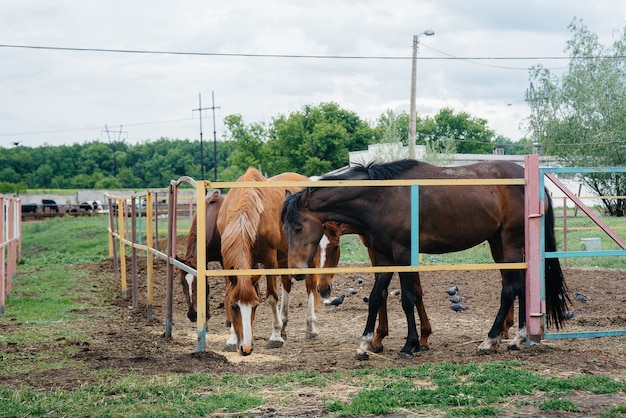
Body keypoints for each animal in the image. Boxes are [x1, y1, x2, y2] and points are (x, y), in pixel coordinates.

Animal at [280, 158, 568, 358]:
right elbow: (376, 296)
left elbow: (408, 298)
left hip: (510, 243)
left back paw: (490, 340)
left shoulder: (403, 252)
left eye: (299, 227)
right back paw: (517, 338)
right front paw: (366, 342)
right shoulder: (384, 256)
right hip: (500, 243)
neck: (381, 197)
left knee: (510, 289)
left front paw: (411, 344)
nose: (297, 272)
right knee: (520, 287)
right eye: (285, 229)